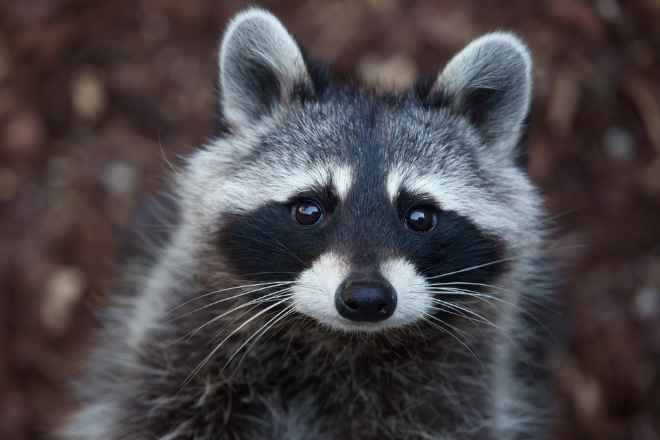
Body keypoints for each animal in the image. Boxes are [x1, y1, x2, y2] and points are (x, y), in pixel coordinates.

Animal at [65, 7, 552, 440]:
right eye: (308, 211)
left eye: (419, 217)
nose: (367, 299)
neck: (336, 344)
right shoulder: (176, 350)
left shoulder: (453, 395)